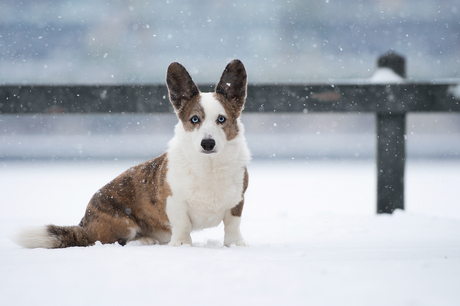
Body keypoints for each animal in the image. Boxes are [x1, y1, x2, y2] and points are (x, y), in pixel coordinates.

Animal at [16, 59, 252, 249]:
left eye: (221, 119)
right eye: (195, 119)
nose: (208, 143)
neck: (209, 164)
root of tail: (84, 224)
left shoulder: (237, 202)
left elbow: (233, 224)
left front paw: (235, 244)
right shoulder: (174, 203)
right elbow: (182, 225)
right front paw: (182, 244)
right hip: (123, 224)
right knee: (113, 241)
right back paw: (144, 240)